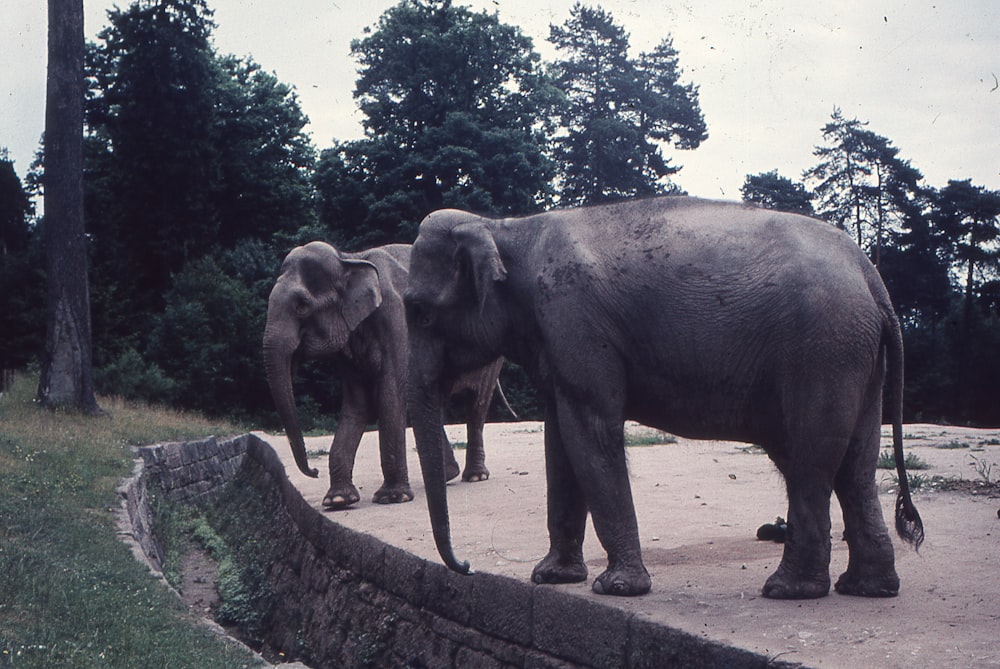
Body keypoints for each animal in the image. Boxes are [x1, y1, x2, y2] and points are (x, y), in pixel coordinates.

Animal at [264, 243, 508, 508]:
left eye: (302, 306)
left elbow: (390, 395)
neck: (349, 259)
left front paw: (393, 498)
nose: (314, 471)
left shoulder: (396, 319)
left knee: (476, 405)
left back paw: (474, 476)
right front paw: (338, 500)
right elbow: (357, 404)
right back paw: (447, 476)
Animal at [404, 196, 920, 596]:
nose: (467, 567)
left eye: (419, 312)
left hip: (821, 352)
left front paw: (616, 588)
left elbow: (591, 431)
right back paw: (867, 588)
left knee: (811, 460)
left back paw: (788, 590)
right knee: (854, 466)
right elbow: (560, 441)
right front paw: (551, 578)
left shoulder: (574, 320)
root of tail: (872, 278)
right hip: (854, 356)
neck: (506, 227)